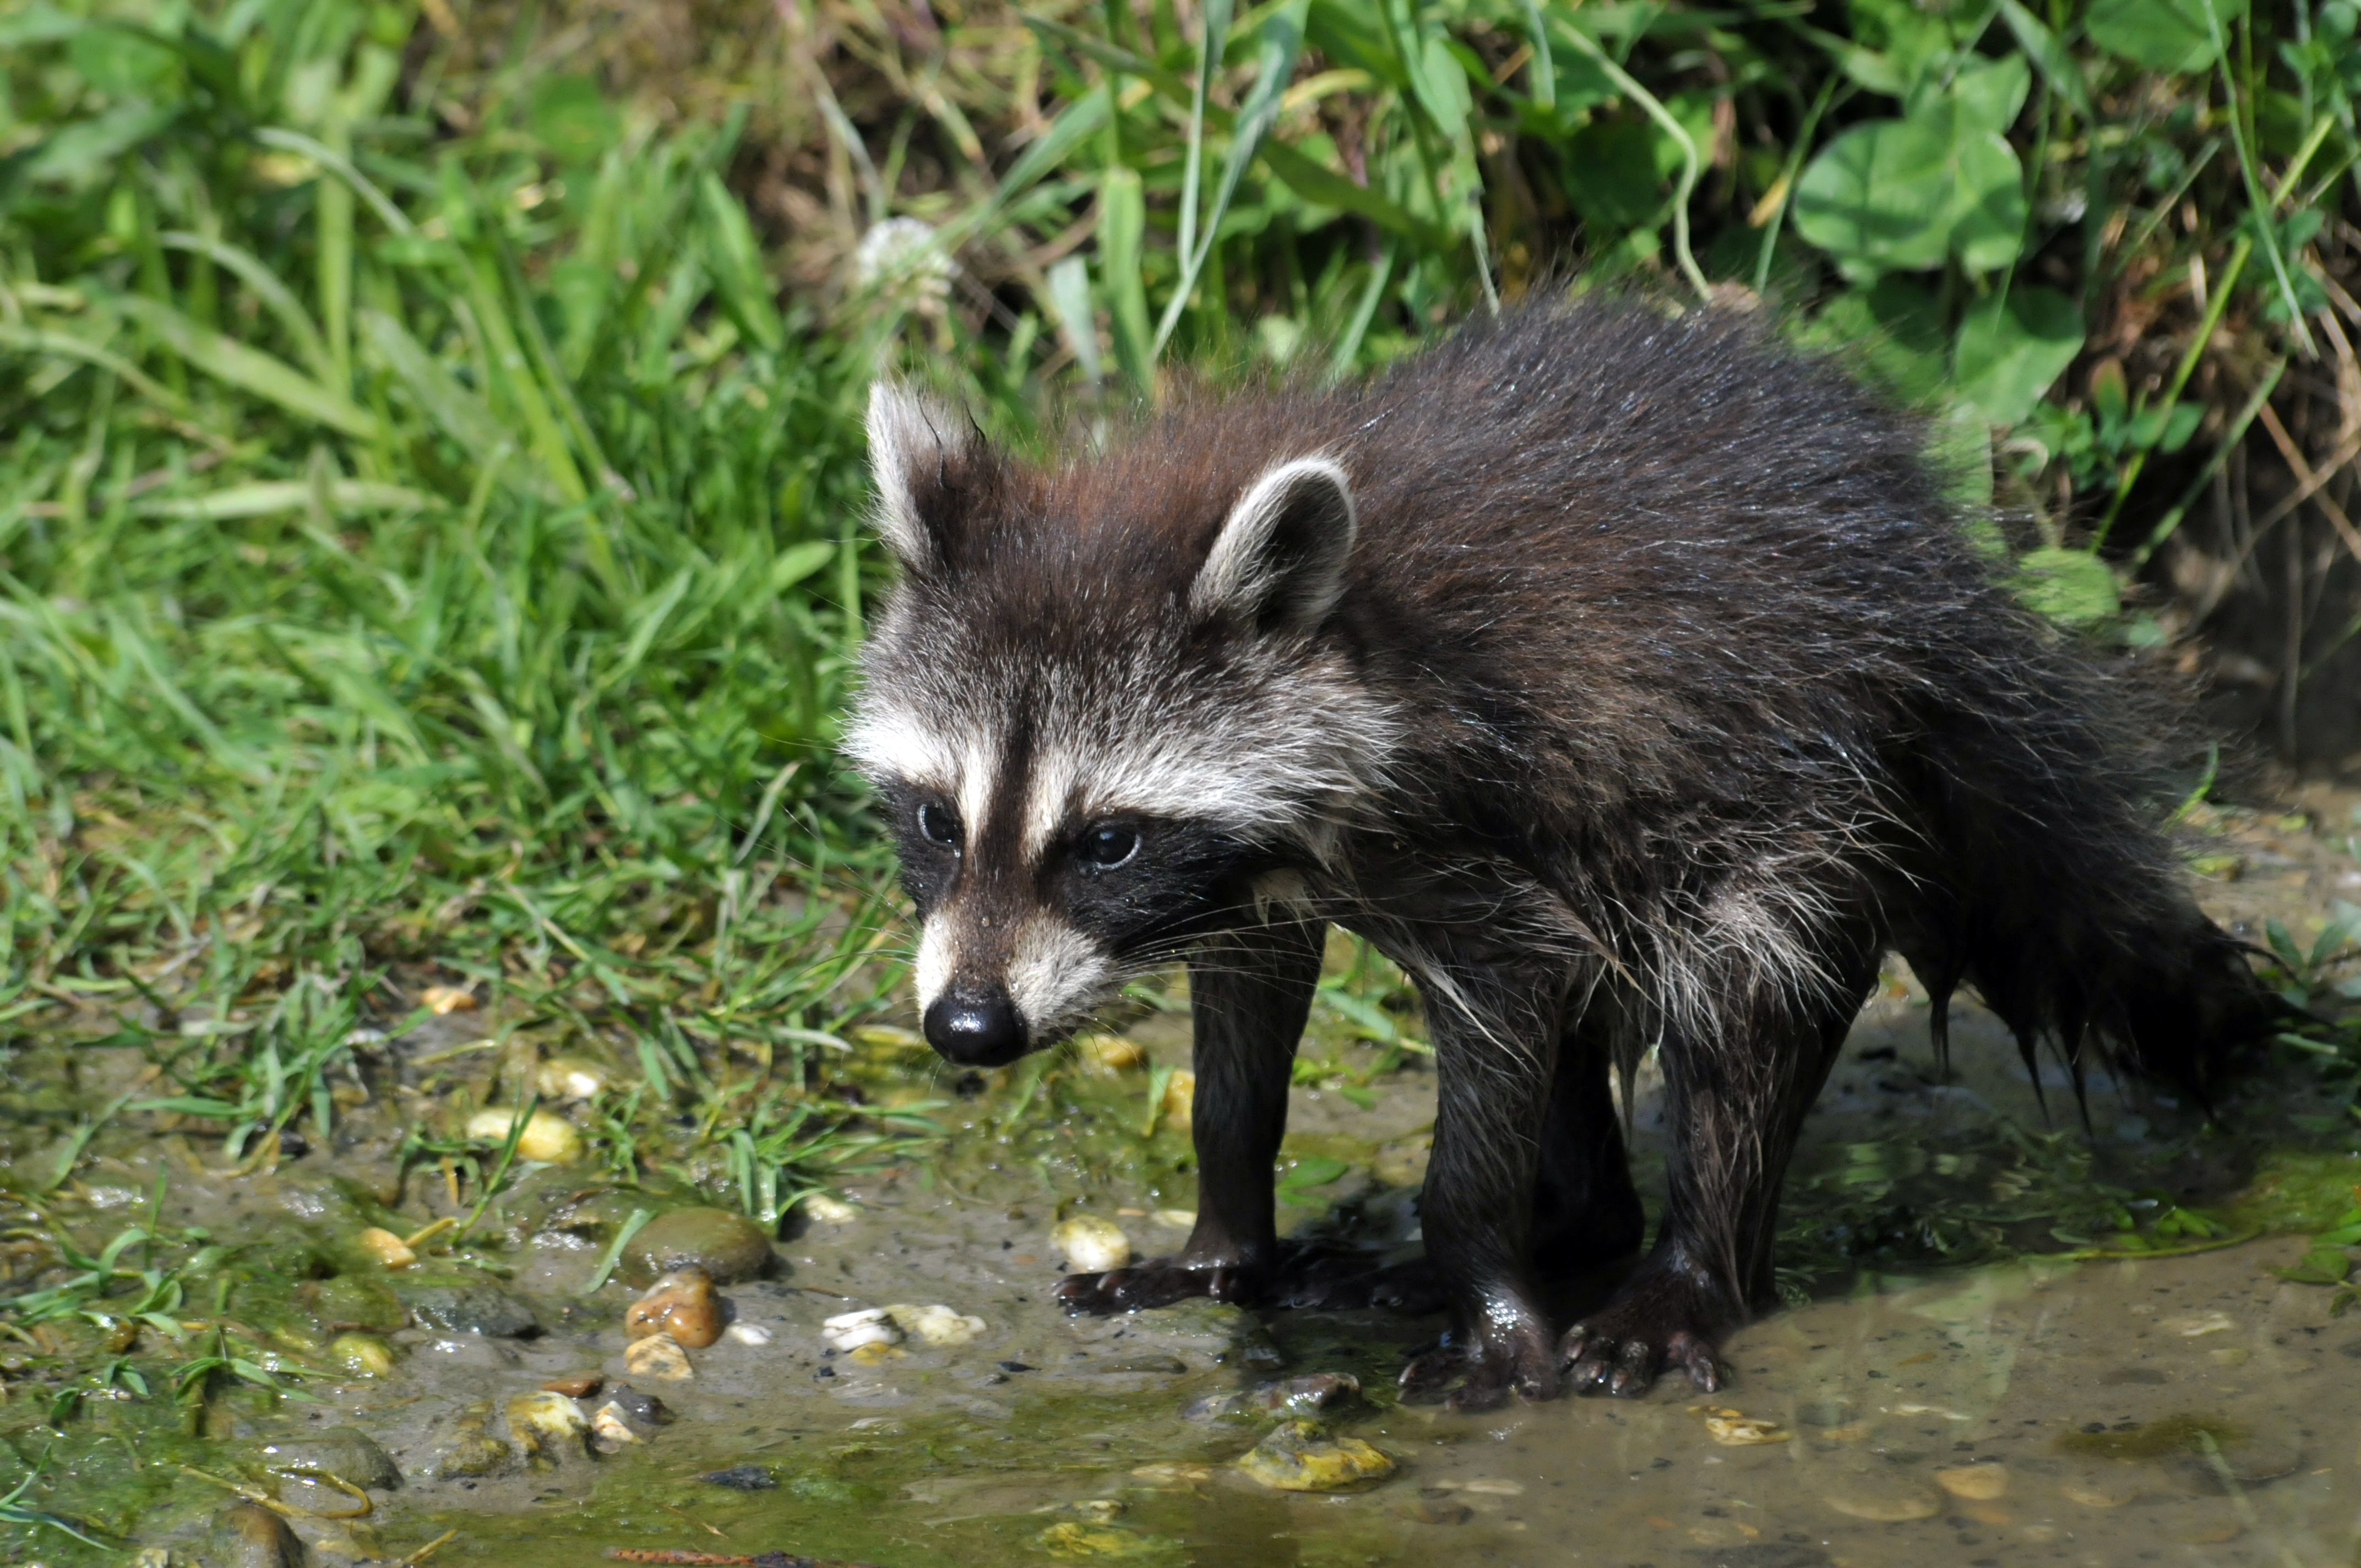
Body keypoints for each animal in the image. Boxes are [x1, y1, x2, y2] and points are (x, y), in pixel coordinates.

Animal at [840, 302, 2276, 1407]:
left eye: (1106, 839)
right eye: (937, 818)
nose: (966, 1027)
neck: (1354, 630)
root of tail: (1950, 590)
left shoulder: (1468, 827)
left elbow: (1507, 1015)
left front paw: (1481, 1264)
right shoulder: (1263, 873)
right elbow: (1245, 1040)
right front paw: (1223, 1231)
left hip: (1808, 792)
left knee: (1738, 1008)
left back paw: (1684, 1265)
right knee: (1597, 1005)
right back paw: (1581, 1217)